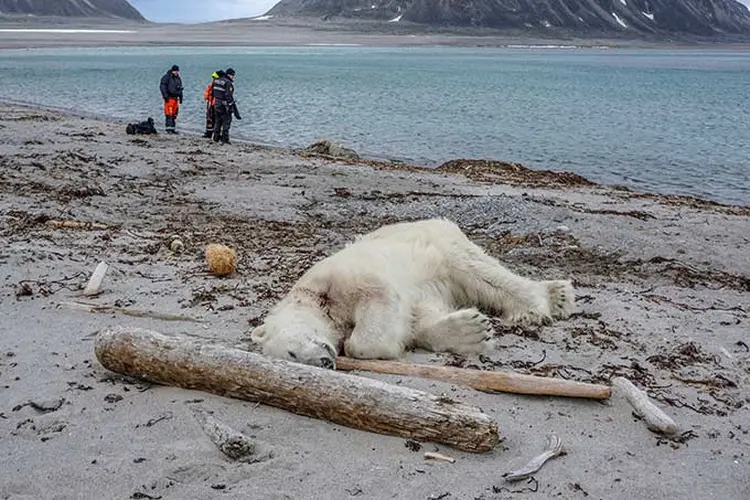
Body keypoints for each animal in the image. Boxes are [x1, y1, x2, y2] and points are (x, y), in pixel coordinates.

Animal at [253, 218, 576, 368]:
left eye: (292, 351)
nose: (325, 362)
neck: (316, 300)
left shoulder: (339, 278)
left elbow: (375, 303)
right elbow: (418, 319)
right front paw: (471, 331)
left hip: (440, 244)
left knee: (481, 273)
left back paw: (547, 300)